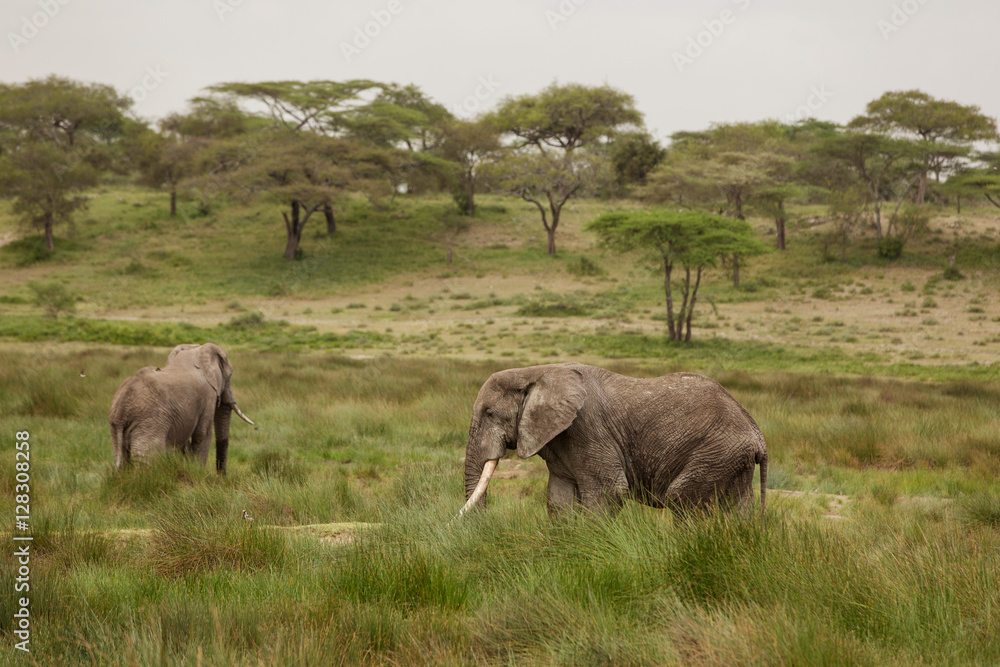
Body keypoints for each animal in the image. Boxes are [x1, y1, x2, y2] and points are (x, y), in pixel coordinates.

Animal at [109, 343, 254, 473]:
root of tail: (121, 411)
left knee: (121, 460)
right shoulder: (208, 395)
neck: (195, 351)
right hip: (149, 424)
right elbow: (203, 434)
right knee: (147, 460)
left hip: (116, 428)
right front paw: (199, 474)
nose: (221, 476)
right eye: (229, 376)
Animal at [459, 362, 767, 518]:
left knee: (682, 499)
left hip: (716, 451)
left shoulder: (587, 429)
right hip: (731, 459)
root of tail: (758, 435)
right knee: (738, 508)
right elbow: (558, 498)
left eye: (489, 413)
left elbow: (607, 493)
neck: (535, 371)